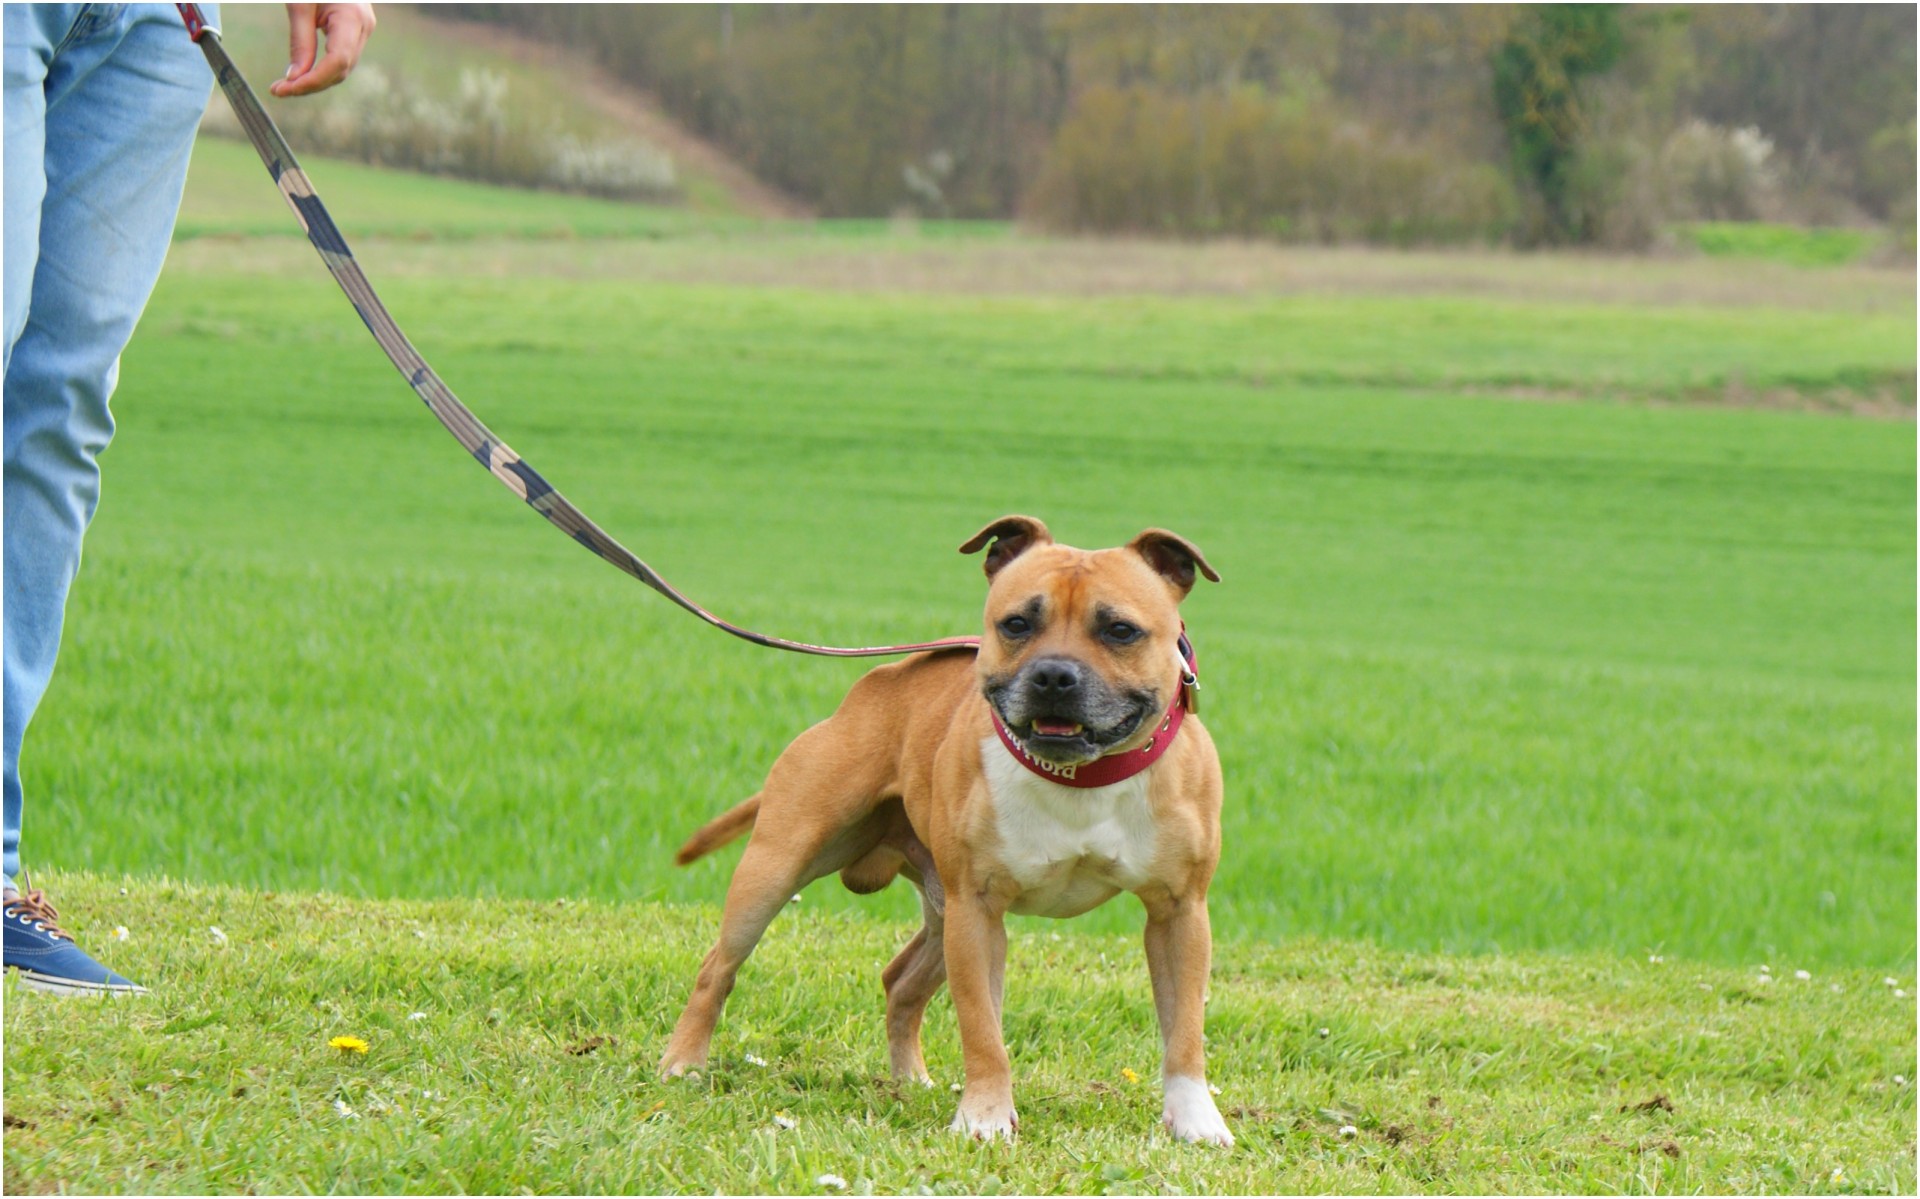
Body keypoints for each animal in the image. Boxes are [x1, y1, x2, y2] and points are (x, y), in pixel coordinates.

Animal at [660, 511, 1228, 1145]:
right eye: (1016, 623)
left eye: (1121, 631)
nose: (1054, 675)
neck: (1081, 777)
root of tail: (870, 687)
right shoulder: (976, 912)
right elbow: (983, 1030)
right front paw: (984, 1116)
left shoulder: (1179, 913)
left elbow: (1186, 1029)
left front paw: (1196, 1120)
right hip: (779, 868)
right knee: (718, 967)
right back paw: (683, 1063)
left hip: (939, 913)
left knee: (900, 983)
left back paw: (911, 1081)